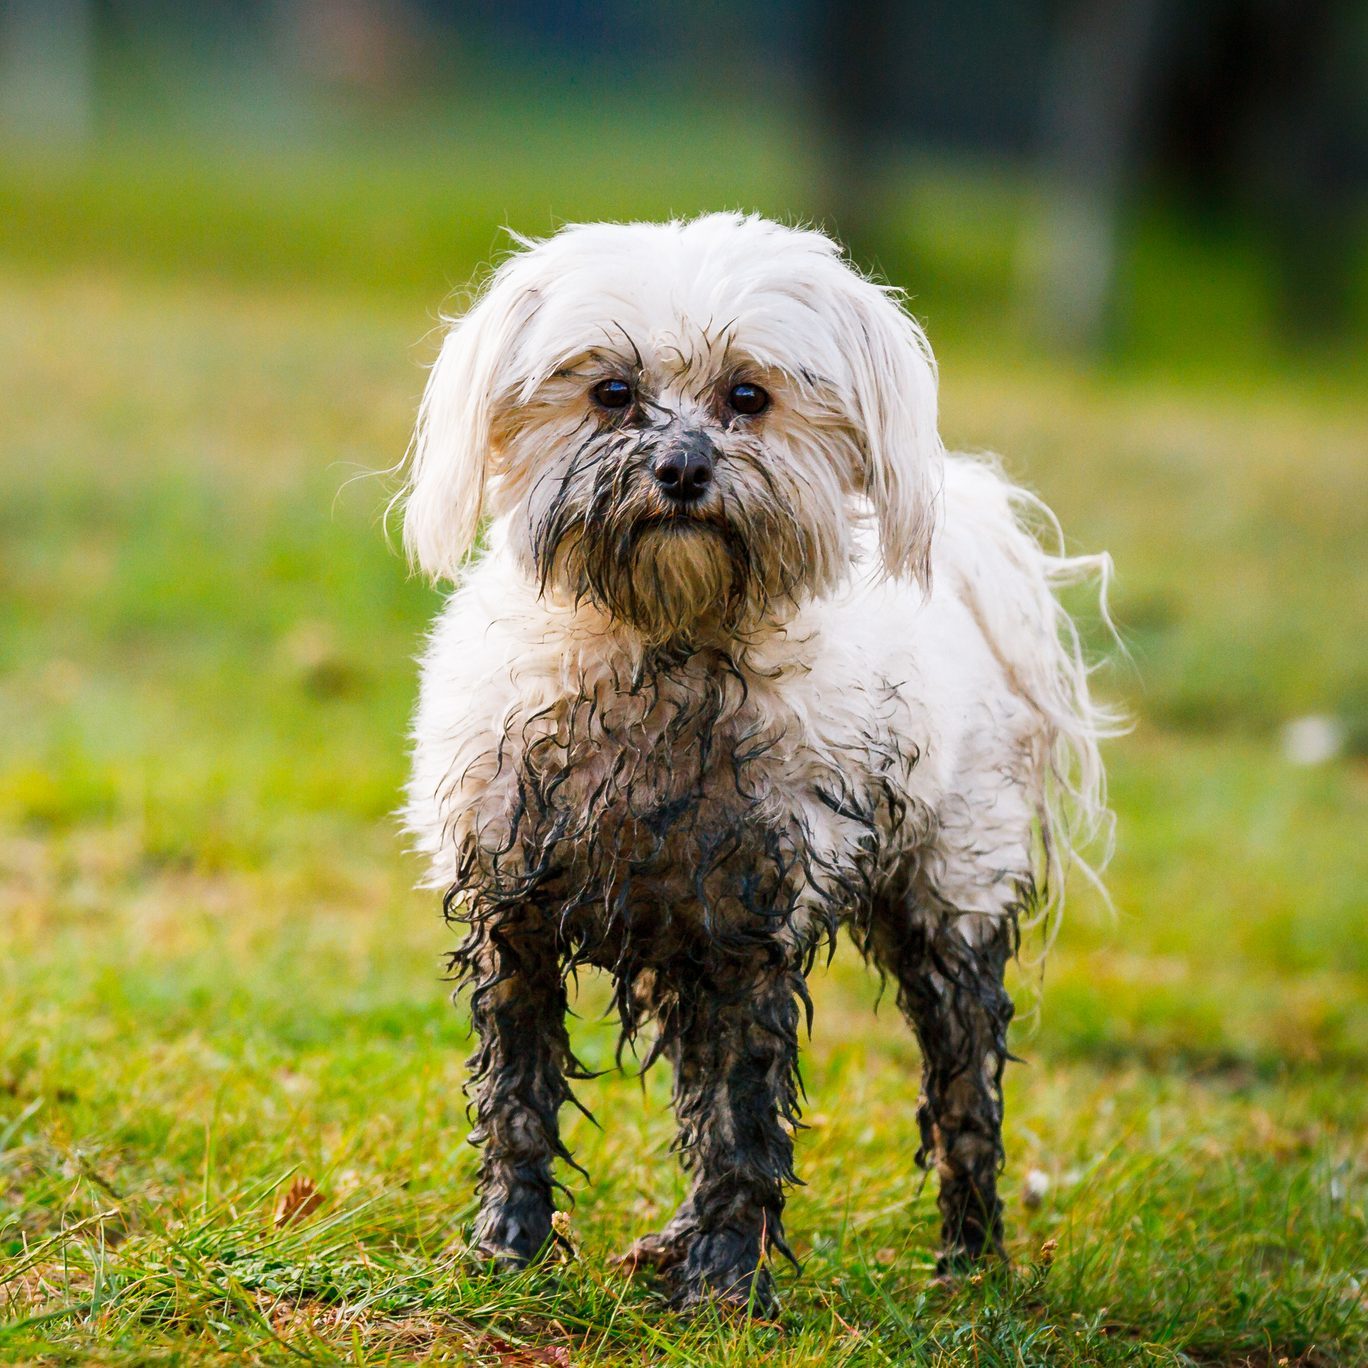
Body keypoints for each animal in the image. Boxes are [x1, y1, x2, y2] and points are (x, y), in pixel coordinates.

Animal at [399, 213, 1116, 1313]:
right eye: (612, 391)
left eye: (748, 396)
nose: (682, 468)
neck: (664, 646)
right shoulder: (513, 909)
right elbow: (519, 1098)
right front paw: (506, 1249)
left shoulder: (747, 929)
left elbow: (740, 1121)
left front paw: (728, 1285)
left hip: (948, 906)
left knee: (965, 1096)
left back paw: (968, 1258)